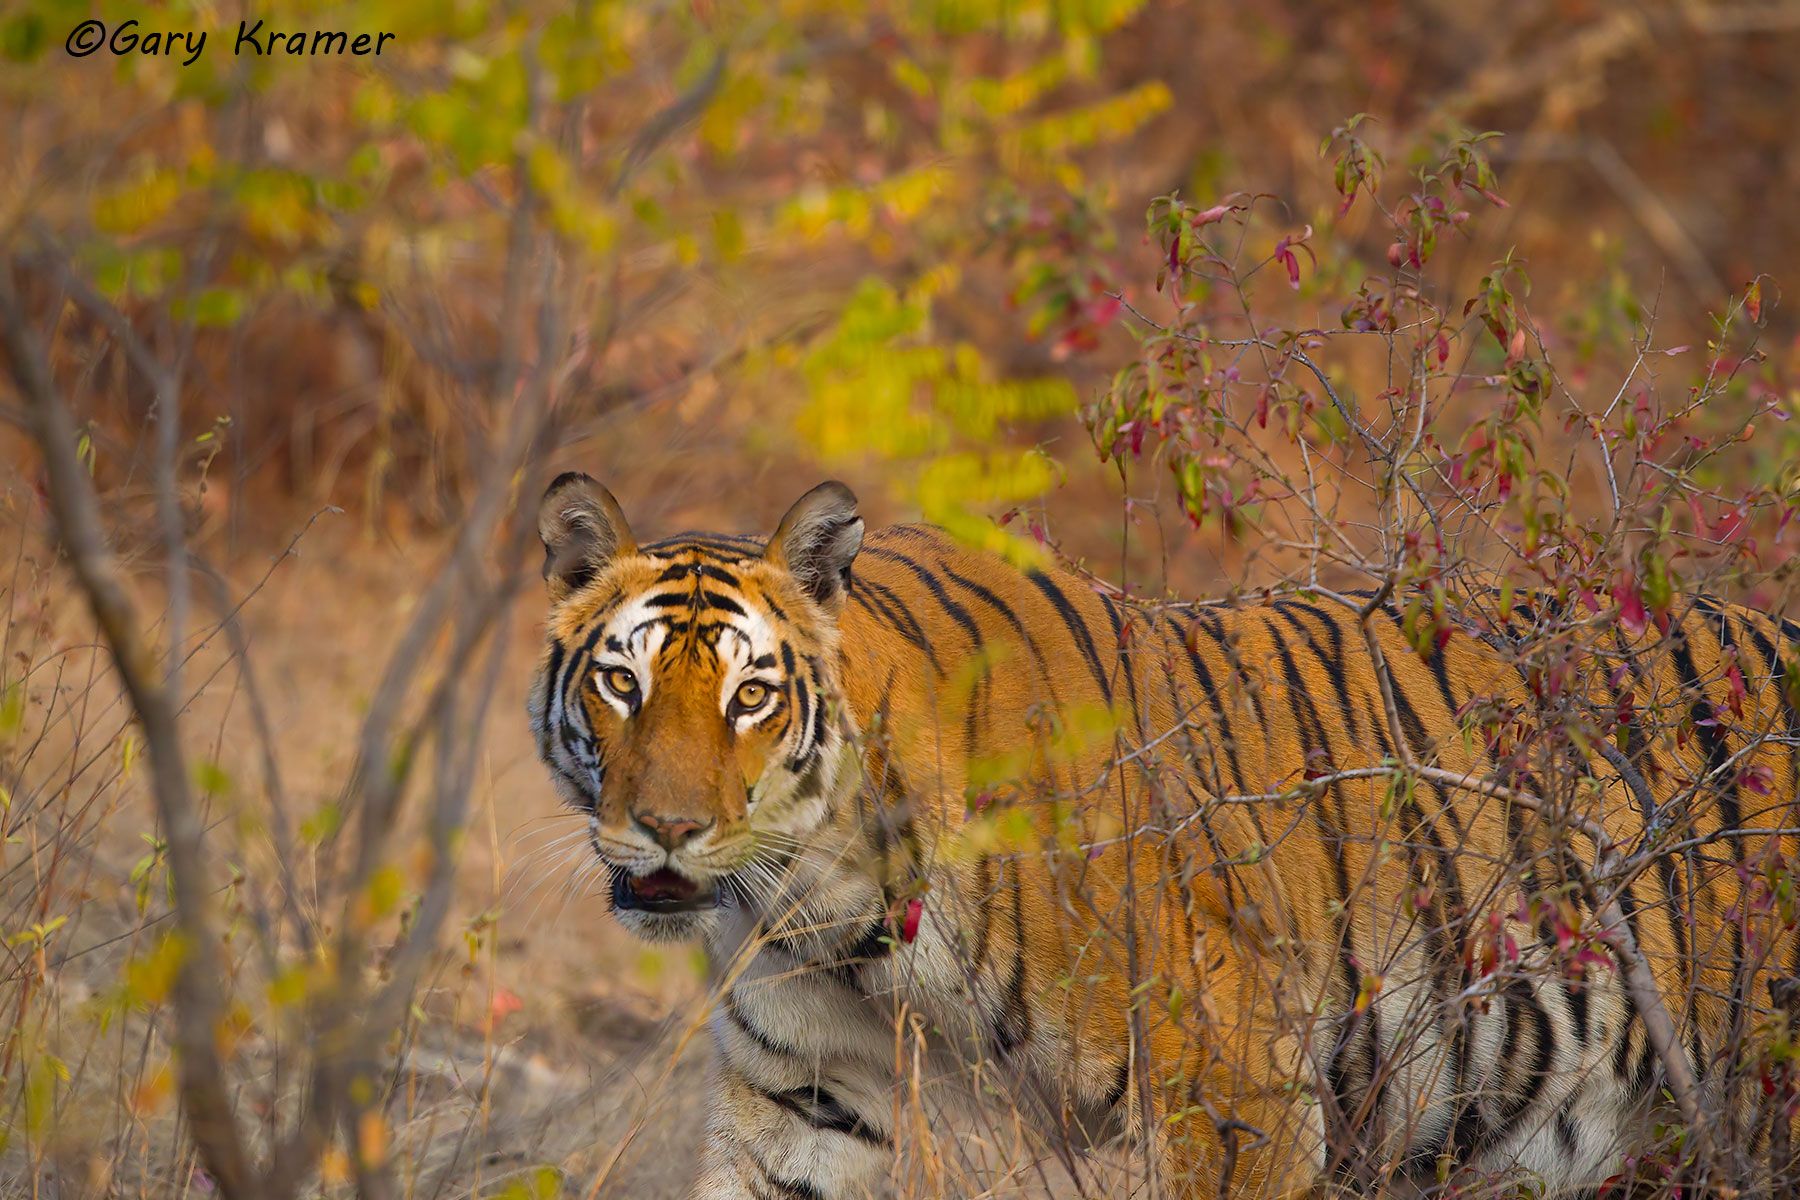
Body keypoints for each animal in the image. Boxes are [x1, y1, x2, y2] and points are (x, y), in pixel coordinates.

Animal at [528, 472, 1800, 1199]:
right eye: (622, 683)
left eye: (749, 697)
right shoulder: (803, 1107)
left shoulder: (1236, 1091)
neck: (828, 908)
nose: (668, 832)